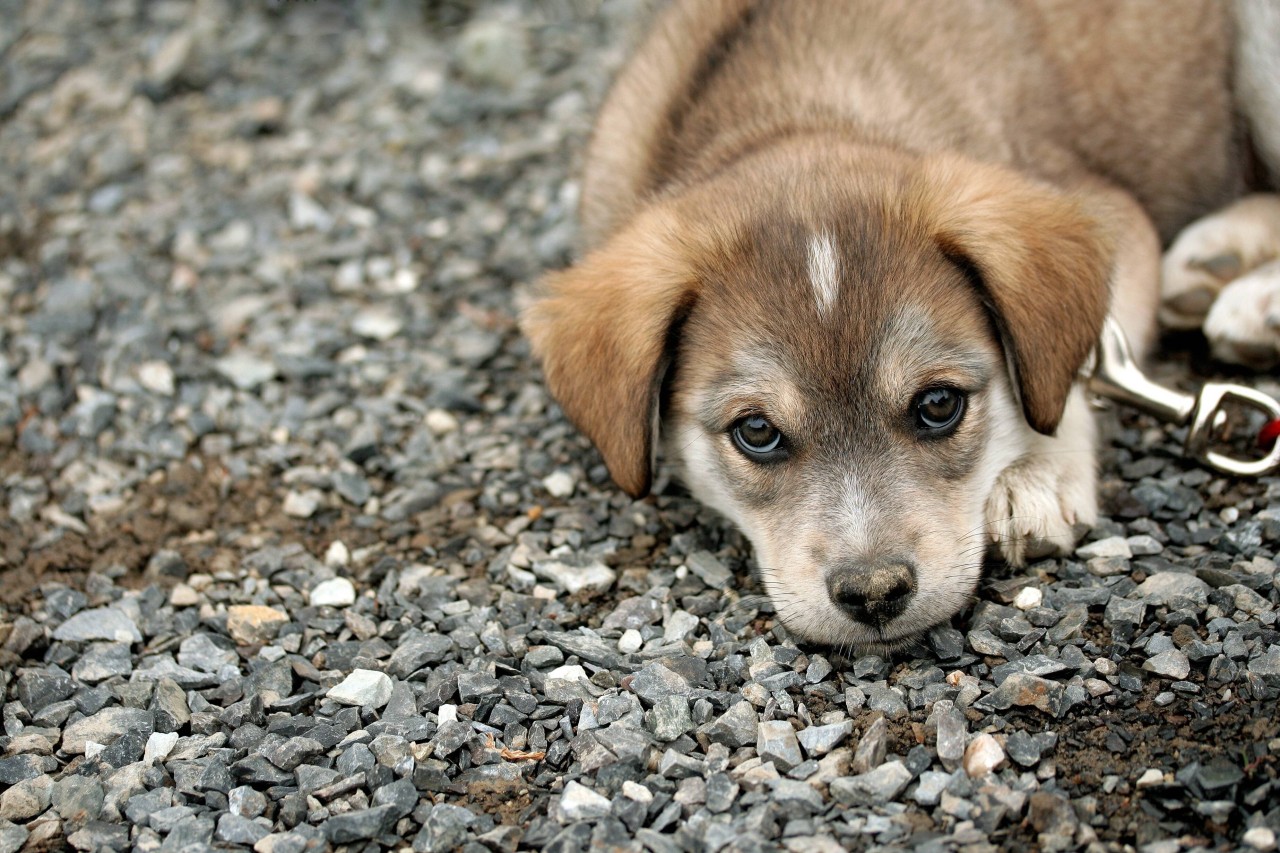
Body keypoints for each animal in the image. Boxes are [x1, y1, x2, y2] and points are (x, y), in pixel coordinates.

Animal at [519, 0, 1280, 648]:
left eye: (938, 404)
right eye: (756, 432)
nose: (876, 593)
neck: (800, 109)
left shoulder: (1112, 208)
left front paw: (1035, 470)